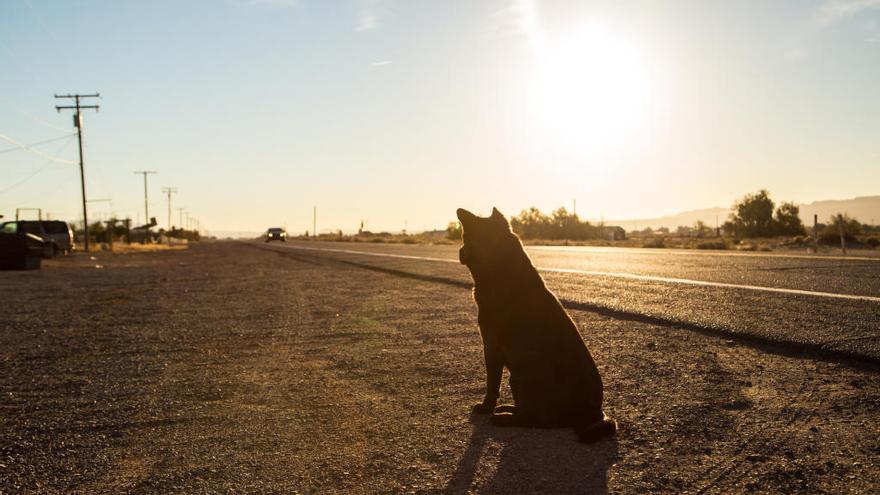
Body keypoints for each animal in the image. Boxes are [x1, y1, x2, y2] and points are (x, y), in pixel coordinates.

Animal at [458, 207, 616, 444]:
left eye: (466, 236)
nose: (459, 251)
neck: (501, 271)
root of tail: (591, 414)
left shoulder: (491, 347)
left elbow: (492, 384)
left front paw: (486, 407)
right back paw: (509, 409)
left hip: (526, 367)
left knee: (538, 419)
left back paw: (503, 418)